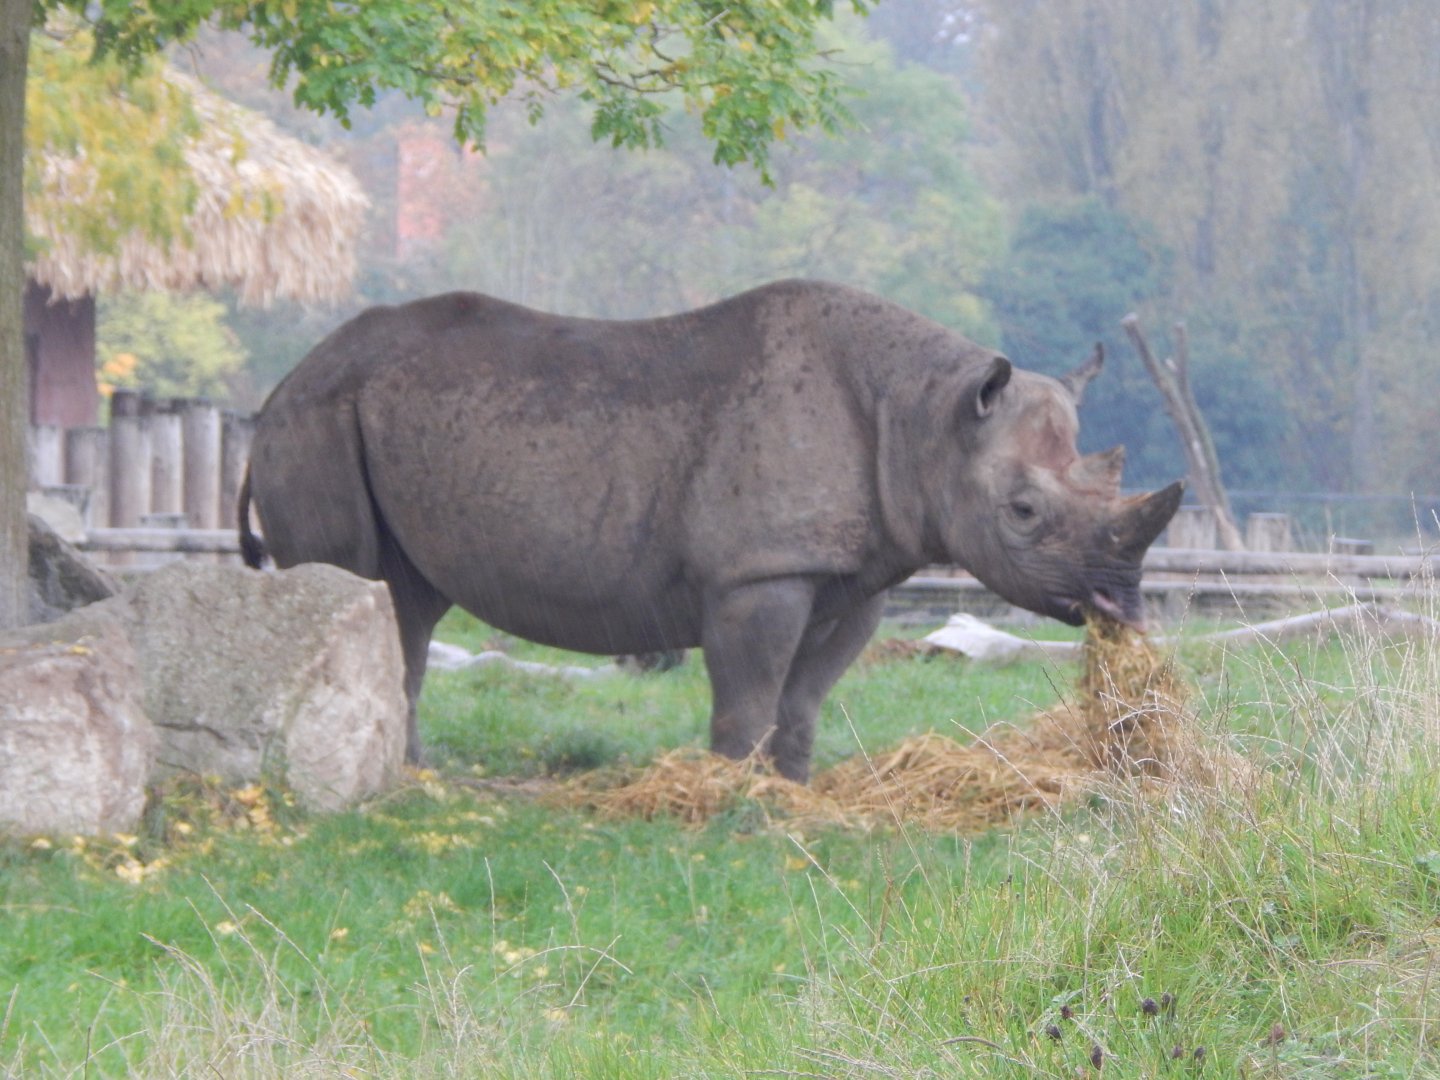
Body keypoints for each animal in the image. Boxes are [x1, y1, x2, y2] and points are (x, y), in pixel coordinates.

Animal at [239, 280, 1181, 781]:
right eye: (1023, 512)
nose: (1124, 605)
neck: (925, 416)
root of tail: (276, 390)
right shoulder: (757, 572)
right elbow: (749, 694)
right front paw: (729, 794)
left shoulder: (855, 573)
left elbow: (804, 699)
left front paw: (794, 790)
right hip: (318, 419)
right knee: (362, 589)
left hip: (356, 418)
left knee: (406, 600)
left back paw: (417, 776)